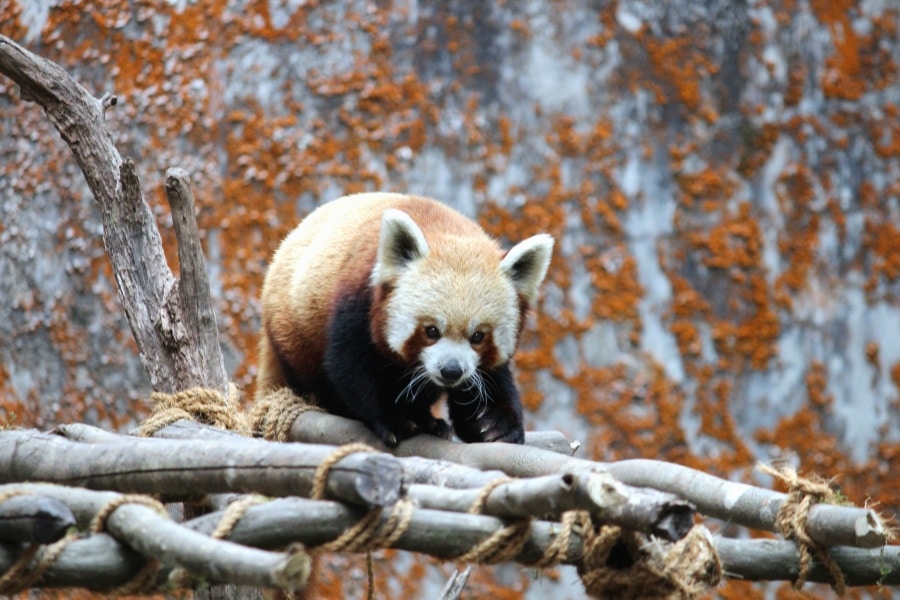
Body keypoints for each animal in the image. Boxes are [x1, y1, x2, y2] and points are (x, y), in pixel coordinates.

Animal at [255, 192, 556, 446]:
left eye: (478, 336)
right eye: (431, 331)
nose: (451, 370)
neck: (446, 229)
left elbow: (491, 380)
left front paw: (495, 424)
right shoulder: (356, 305)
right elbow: (350, 368)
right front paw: (397, 419)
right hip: (293, 334)